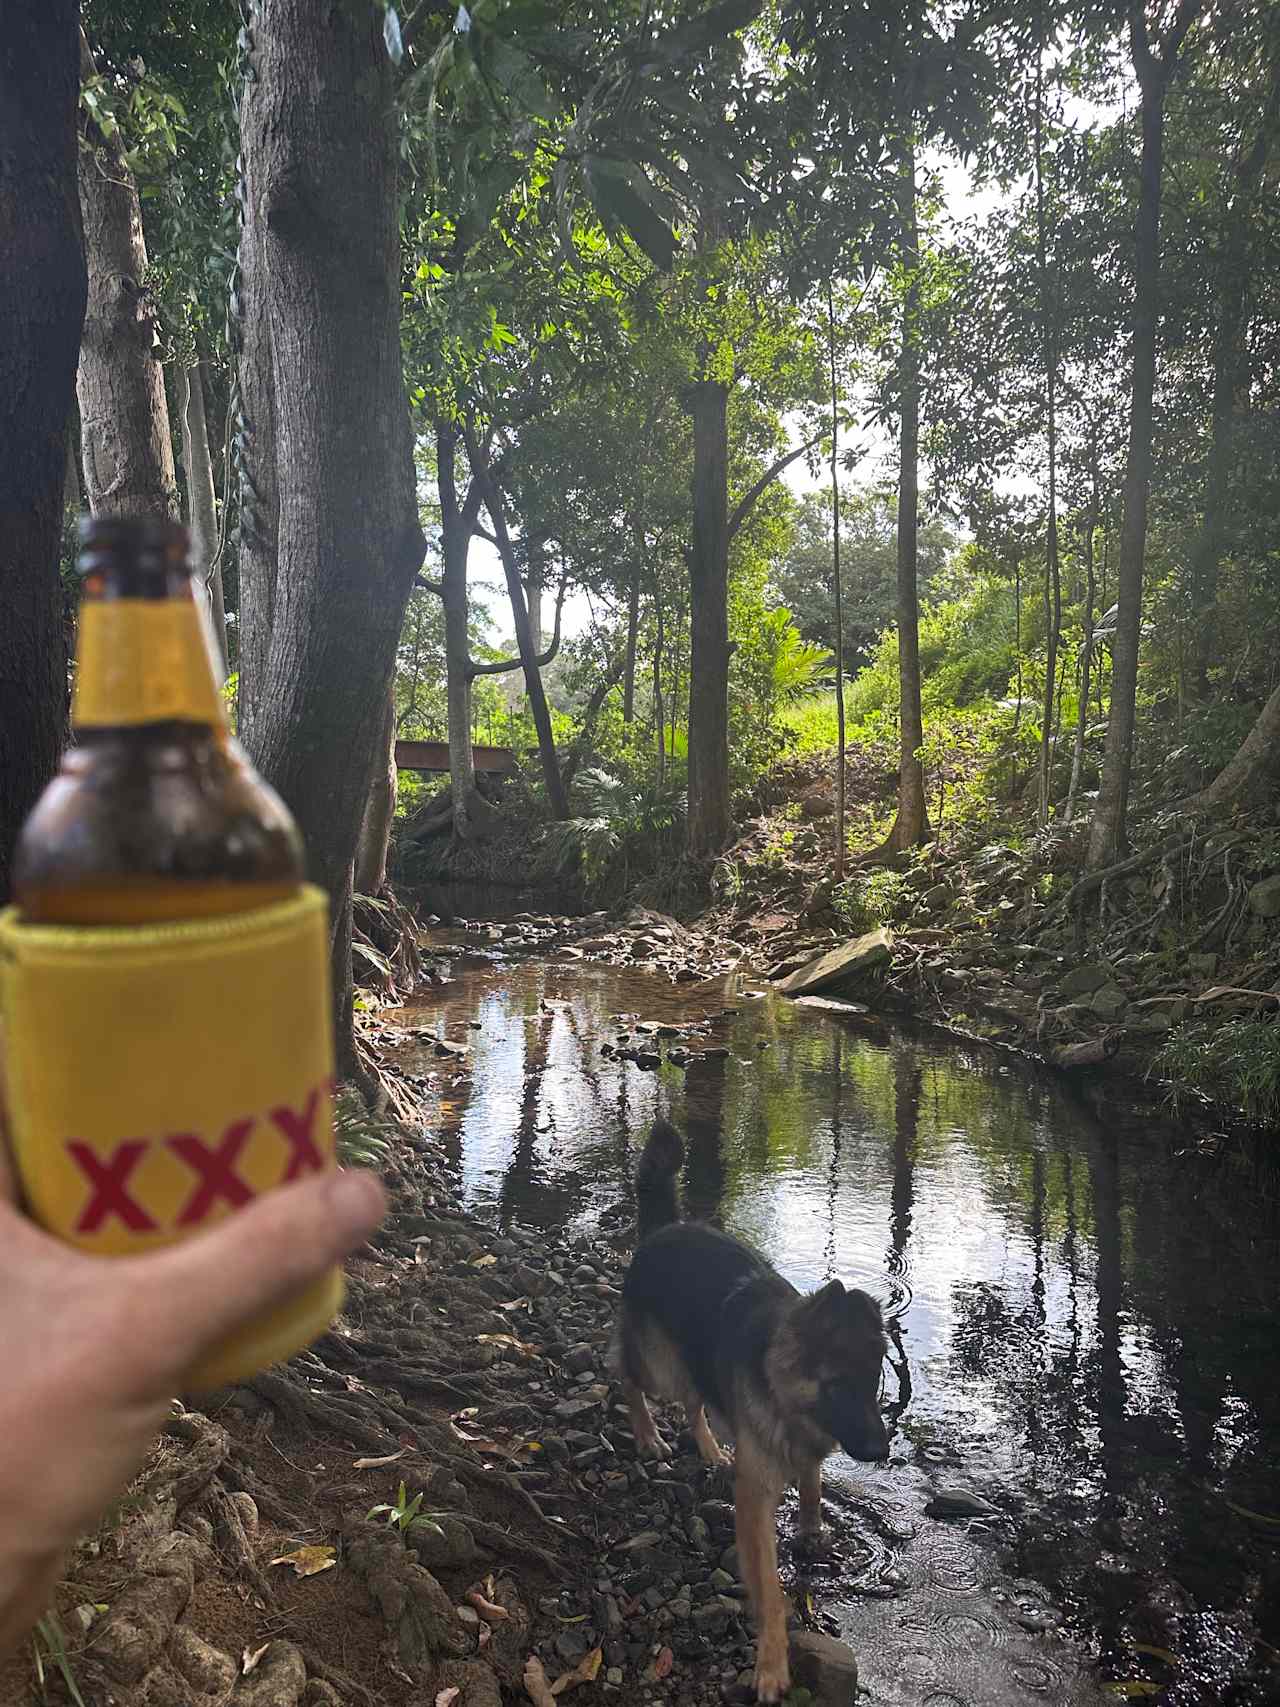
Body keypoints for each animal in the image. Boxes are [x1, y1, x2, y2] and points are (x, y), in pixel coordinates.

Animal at [617, 1119, 887, 1693]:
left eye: (873, 1380)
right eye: (839, 1385)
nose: (881, 1450)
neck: (783, 1391)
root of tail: (663, 1230)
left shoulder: (806, 1455)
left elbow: (812, 1488)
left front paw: (812, 1532)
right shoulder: (755, 1498)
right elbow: (771, 1588)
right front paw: (771, 1664)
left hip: (693, 1364)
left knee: (694, 1402)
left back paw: (710, 1449)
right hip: (661, 1367)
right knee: (627, 1376)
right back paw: (648, 1434)